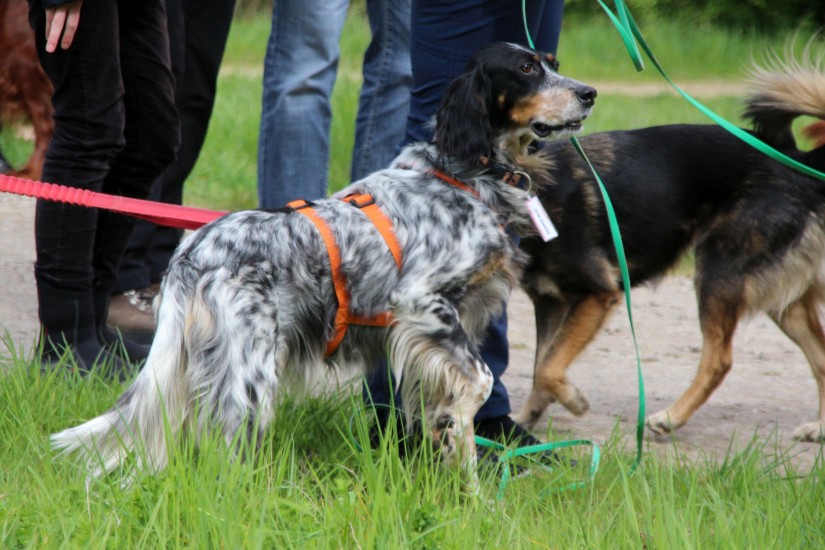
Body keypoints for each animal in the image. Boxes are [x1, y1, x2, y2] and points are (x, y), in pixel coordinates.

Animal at [50, 42, 596, 478]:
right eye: (526, 69)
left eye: (553, 64)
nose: (588, 92)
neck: (464, 176)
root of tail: (192, 252)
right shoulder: (420, 302)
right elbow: (478, 385)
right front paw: (474, 491)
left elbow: (438, 412)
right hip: (249, 371)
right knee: (227, 448)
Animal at [510, 54, 825, 442]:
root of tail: (800, 162)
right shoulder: (550, 302)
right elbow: (542, 363)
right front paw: (527, 418)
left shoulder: (598, 293)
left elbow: (548, 366)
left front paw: (572, 400)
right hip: (780, 297)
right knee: (821, 357)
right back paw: (820, 427)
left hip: (718, 274)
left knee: (719, 360)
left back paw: (671, 417)